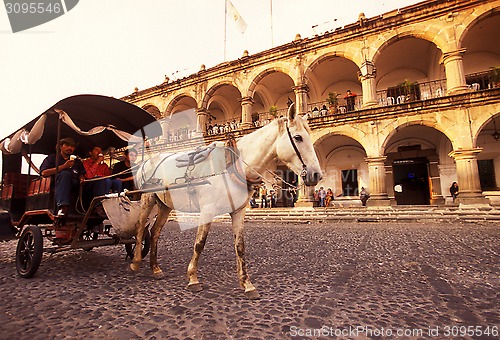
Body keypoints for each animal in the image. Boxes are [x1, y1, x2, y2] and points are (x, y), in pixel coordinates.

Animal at [131, 104, 322, 298]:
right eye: (298, 137)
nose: (316, 174)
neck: (234, 165)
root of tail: (147, 161)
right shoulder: (207, 209)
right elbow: (199, 243)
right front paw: (193, 278)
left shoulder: (238, 211)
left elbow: (240, 246)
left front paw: (247, 283)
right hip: (147, 198)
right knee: (140, 228)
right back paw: (136, 261)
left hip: (165, 205)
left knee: (155, 232)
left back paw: (155, 268)